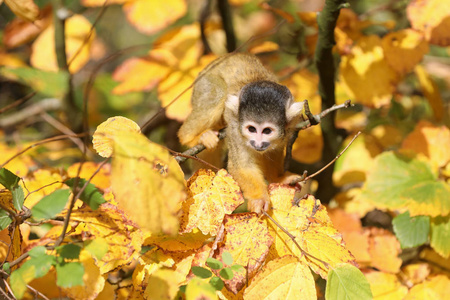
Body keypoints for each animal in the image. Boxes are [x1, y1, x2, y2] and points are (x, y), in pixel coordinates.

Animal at [178, 53, 302, 213]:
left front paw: (279, 178)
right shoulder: (236, 129)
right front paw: (259, 198)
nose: (258, 143)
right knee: (218, 93)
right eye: (251, 129)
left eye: (267, 131)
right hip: (203, 85)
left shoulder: (288, 129)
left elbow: (272, 152)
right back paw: (193, 137)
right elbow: (242, 166)